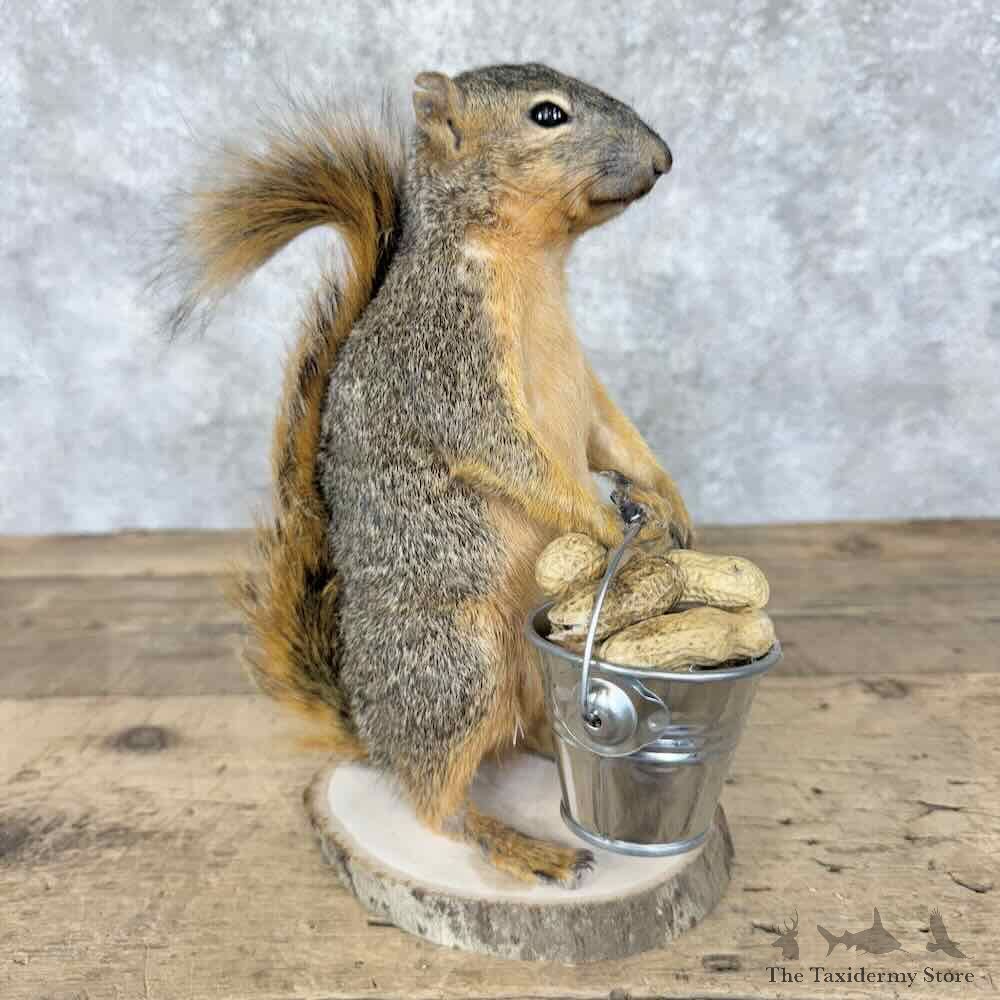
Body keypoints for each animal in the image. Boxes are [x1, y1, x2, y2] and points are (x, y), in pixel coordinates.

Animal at [163, 63, 693, 887]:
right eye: (548, 115)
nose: (664, 158)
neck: (534, 267)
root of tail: (373, 735)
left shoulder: (584, 384)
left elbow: (613, 435)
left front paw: (668, 499)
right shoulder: (446, 367)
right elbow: (515, 458)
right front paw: (608, 523)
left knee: (516, 736)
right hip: (458, 666)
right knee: (437, 805)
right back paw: (520, 845)